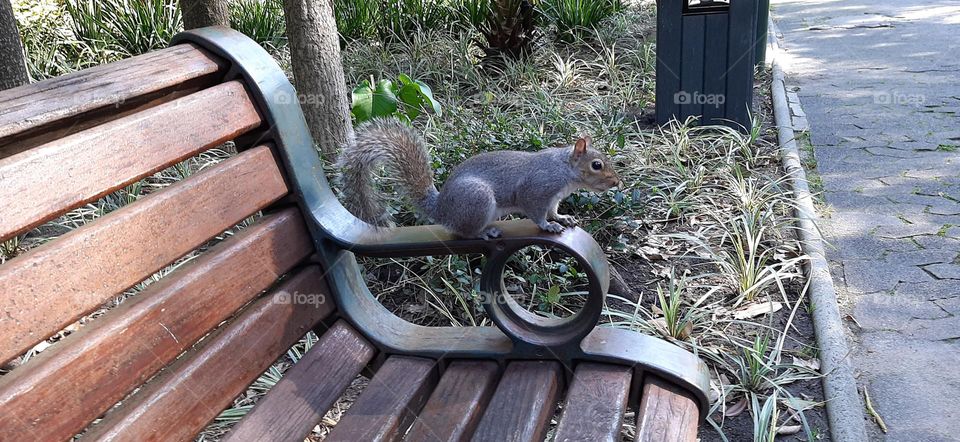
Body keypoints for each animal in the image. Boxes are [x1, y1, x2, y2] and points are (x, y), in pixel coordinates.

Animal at [337, 117, 622, 240]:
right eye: (597, 165)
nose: (616, 182)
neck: (564, 170)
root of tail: (442, 209)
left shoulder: (553, 198)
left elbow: (553, 211)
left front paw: (562, 218)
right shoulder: (537, 190)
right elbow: (536, 212)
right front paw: (548, 226)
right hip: (477, 200)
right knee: (463, 232)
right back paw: (484, 232)